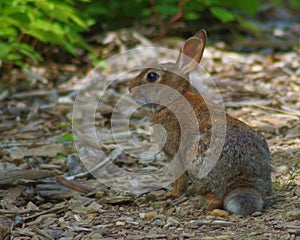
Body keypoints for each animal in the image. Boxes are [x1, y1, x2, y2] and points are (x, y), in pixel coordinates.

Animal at [127, 29, 274, 216]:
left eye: (151, 76)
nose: (130, 87)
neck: (174, 98)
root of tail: (243, 180)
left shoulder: (174, 153)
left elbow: (179, 177)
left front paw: (173, 194)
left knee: (215, 200)